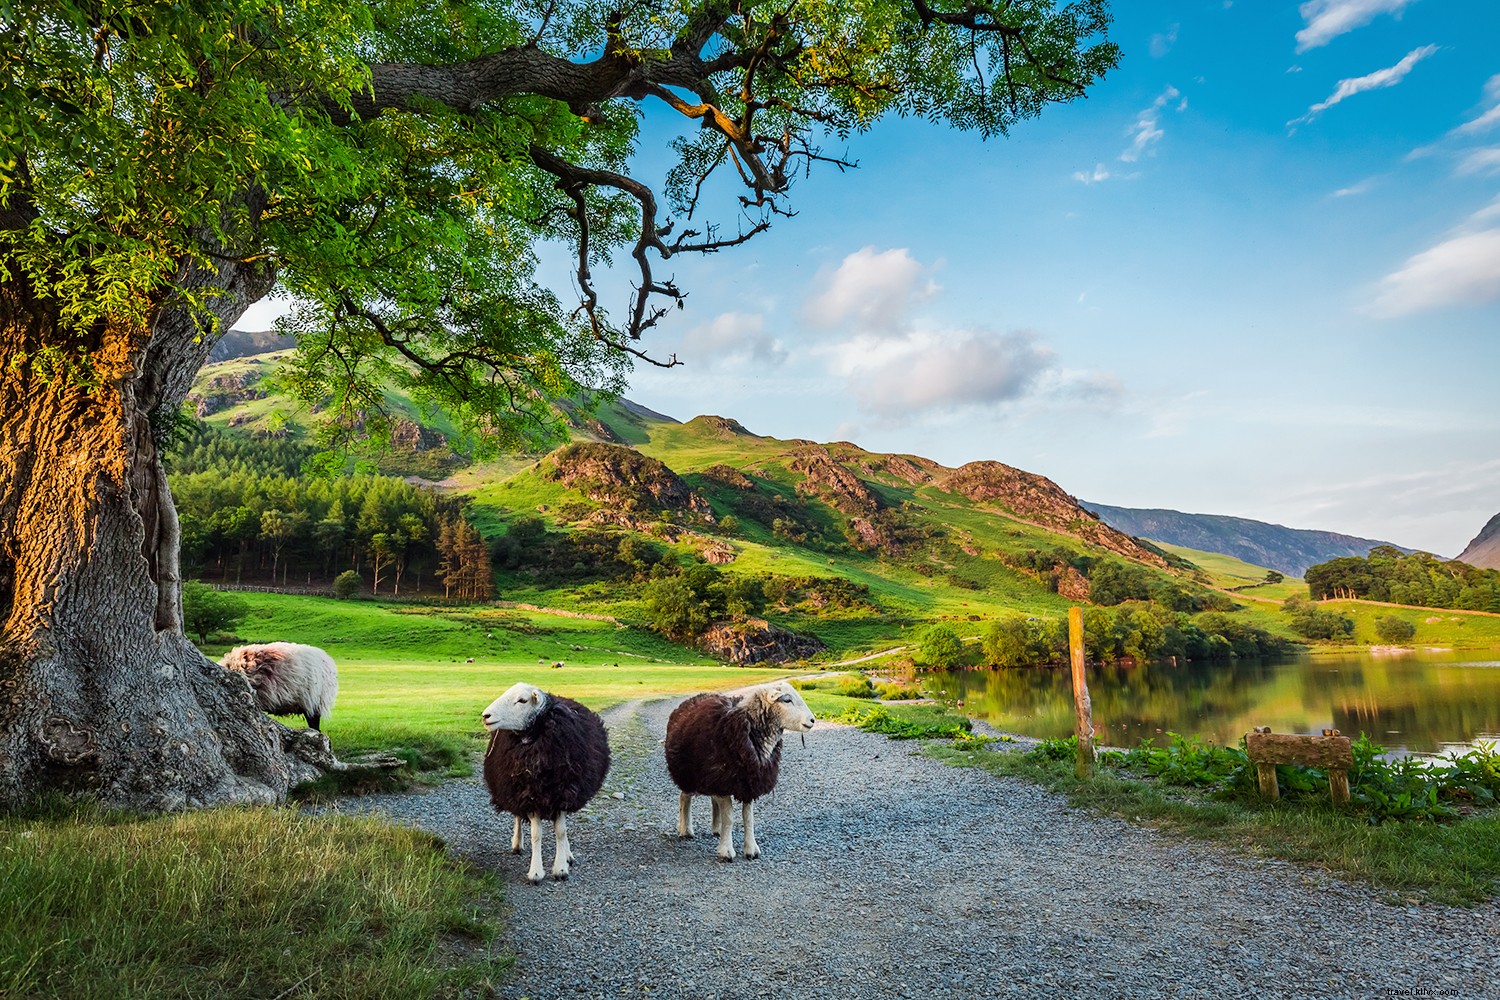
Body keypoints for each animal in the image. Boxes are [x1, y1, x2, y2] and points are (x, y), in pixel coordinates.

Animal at [480, 680, 609, 881]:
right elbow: (536, 834)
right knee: (518, 816)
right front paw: (536, 872)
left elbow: (561, 831)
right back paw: (517, 844)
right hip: (513, 790)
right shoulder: (530, 795)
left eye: (522, 700)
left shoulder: (564, 793)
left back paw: (568, 854)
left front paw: (561, 868)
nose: (486, 716)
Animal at [663, 680, 816, 863]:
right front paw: (726, 851)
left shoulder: (748, 782)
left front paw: (751, 850)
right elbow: (729, 818)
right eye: (787, 700)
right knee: (684, 798)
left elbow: (748, 818)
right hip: (689, 773)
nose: (812, 720)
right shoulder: (726, 780)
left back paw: (716, 828)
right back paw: (685, 830)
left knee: (712, 800)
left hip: (713, 777)